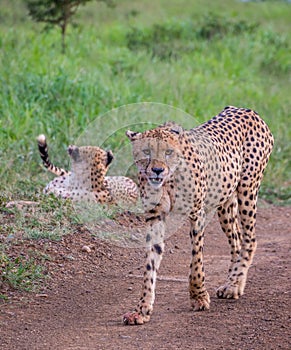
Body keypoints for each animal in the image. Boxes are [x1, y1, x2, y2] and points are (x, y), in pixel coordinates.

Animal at [123, 105, 274, 324]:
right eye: (146, 152)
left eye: (168, 152)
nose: (157, 170)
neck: (169, 180)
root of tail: (245, 109)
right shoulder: (155, 218)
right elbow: (150, 265)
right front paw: (141, 310)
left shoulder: (197, 214)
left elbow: (197, 260)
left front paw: (199, 297)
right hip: (225, 203)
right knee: (236, 241)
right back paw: (234, 283)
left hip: (248, 189)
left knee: (250, 239)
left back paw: (233, 285)